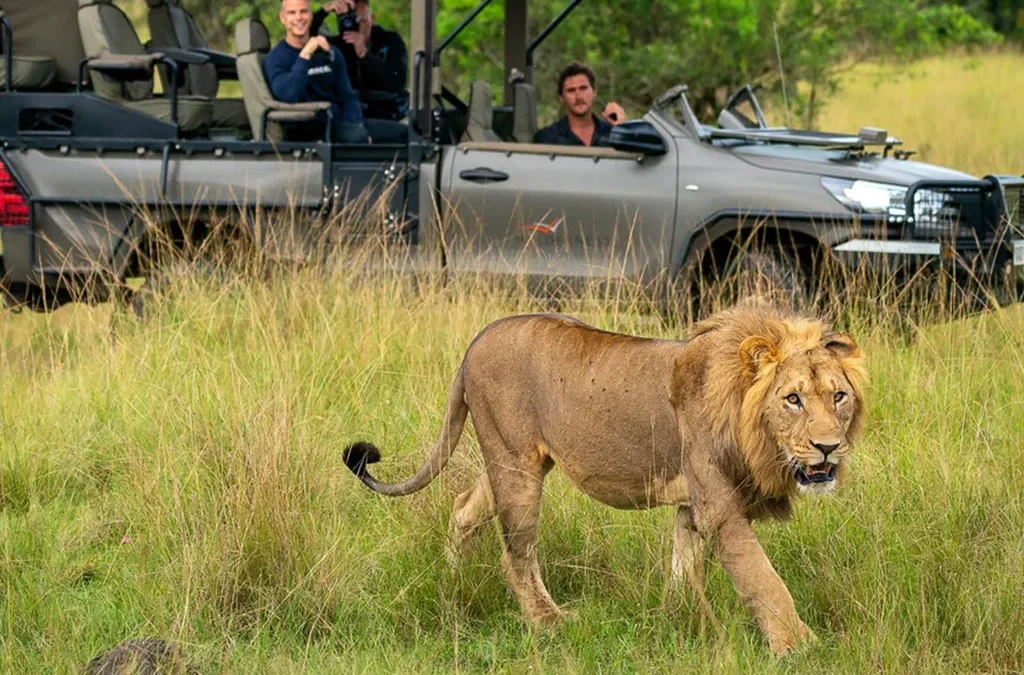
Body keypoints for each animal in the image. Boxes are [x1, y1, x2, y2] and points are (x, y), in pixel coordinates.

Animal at [342, 303, 867, 656]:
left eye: (838, 396)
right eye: (793, 399)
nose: (827, 447)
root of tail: (477, 339)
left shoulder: (691, 506)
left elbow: (684, 568)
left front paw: (678, 621)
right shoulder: (720, 507)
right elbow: (764, 579)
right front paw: (800, 646)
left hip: (511, 462)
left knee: (463, 509)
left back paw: (455, 579)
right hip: (515, 466)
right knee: (516, 554)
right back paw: (549, 622)